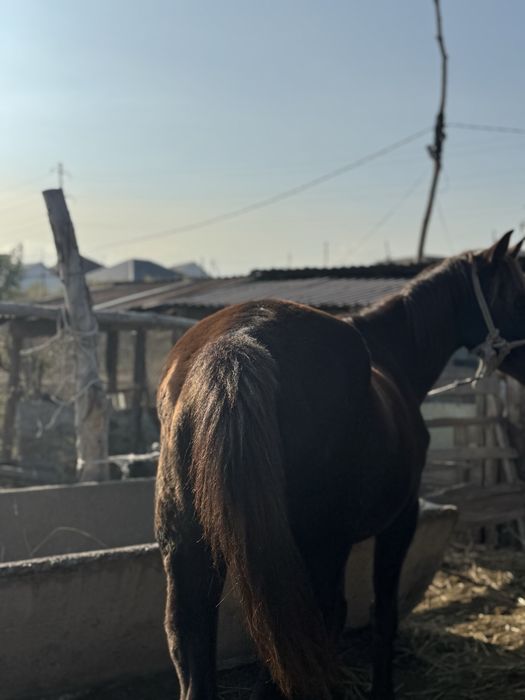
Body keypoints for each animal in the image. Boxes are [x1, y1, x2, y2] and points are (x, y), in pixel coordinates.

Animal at [155, 232, 525, 700]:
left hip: (191, 557)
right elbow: (382, 614)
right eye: (515, 291)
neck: (392, 358)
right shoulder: (400, 520)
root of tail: (239, 340)